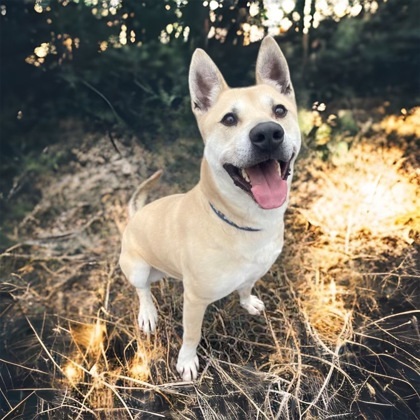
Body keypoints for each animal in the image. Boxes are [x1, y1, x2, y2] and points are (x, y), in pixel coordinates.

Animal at [120, 37, 300, 380]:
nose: (268, 134)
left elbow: (245, 287)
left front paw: (247, 301)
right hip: (136, 268)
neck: (243, 222)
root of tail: (135, 215)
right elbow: (192, 334)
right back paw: (148, 313)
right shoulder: (194, 300)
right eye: (229, 119)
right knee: (142, 291)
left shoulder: (253, 272)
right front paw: (187, 361)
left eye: (279, 110)